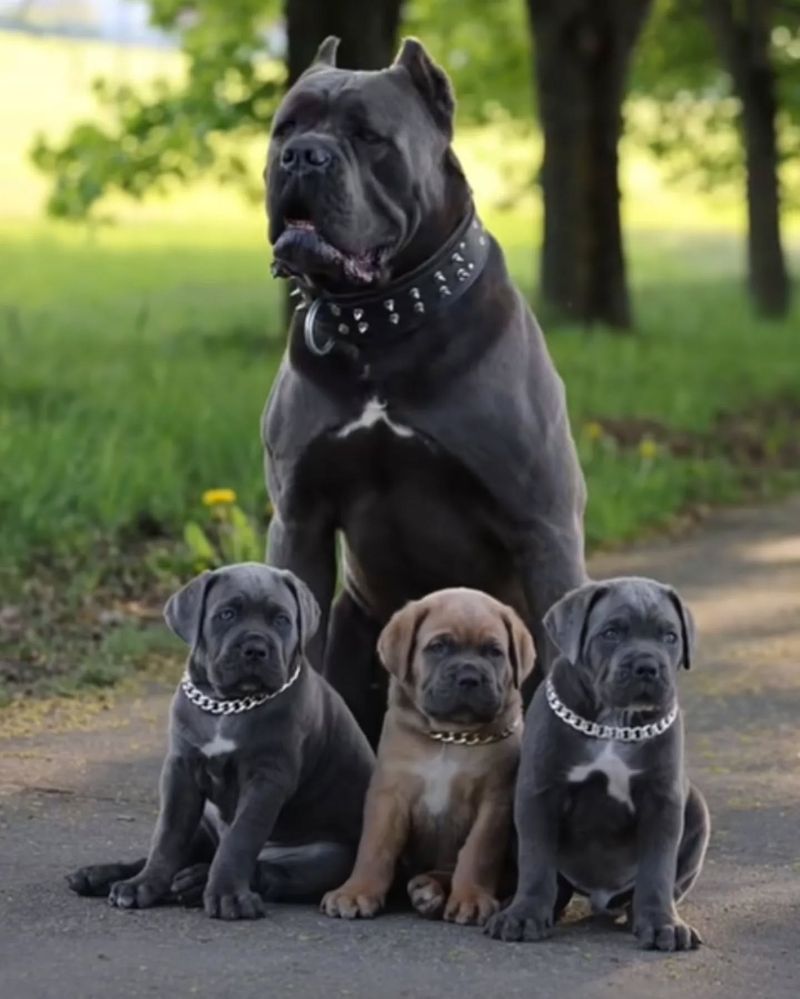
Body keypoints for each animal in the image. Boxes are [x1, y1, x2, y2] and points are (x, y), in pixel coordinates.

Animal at [67, 564, 374, 920]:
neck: (227, 705)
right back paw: (103, 875)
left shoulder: (267, 779)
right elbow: (167, 836)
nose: (255, 648)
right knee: (184, 853)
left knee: (267, 871)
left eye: (281, 619)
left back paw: (195, 882)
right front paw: (143, 885)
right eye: (227, 614)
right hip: (204, 824)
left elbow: (240, 839)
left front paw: (228, 895)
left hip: (329, 858)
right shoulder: (181, 771)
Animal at [264, 35, 588, 748]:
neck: (379, 327)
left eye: (367, 136)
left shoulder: (543, 524)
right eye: (285, 129)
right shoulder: (300, 519)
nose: (303, 156)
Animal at [318, 588, 532, 924]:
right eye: (439, 647)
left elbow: (478, 853)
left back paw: (431, 890)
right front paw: (356, 890)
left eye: (494, 652)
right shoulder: (389, 796)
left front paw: (470, 897)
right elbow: (374, 847)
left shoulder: (495, 802)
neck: (450, 736)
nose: (469, 677)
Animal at [484, 580, 708, 952]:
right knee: (555, 884)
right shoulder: (539, 793)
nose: (647, 665)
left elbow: (658, 868)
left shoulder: (663, 800)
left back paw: (638, 914)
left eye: (670, 637)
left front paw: (662, 922)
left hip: (697, 810)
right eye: (611, 633)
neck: (613, 724)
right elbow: (536, 860)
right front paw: (523, 915)